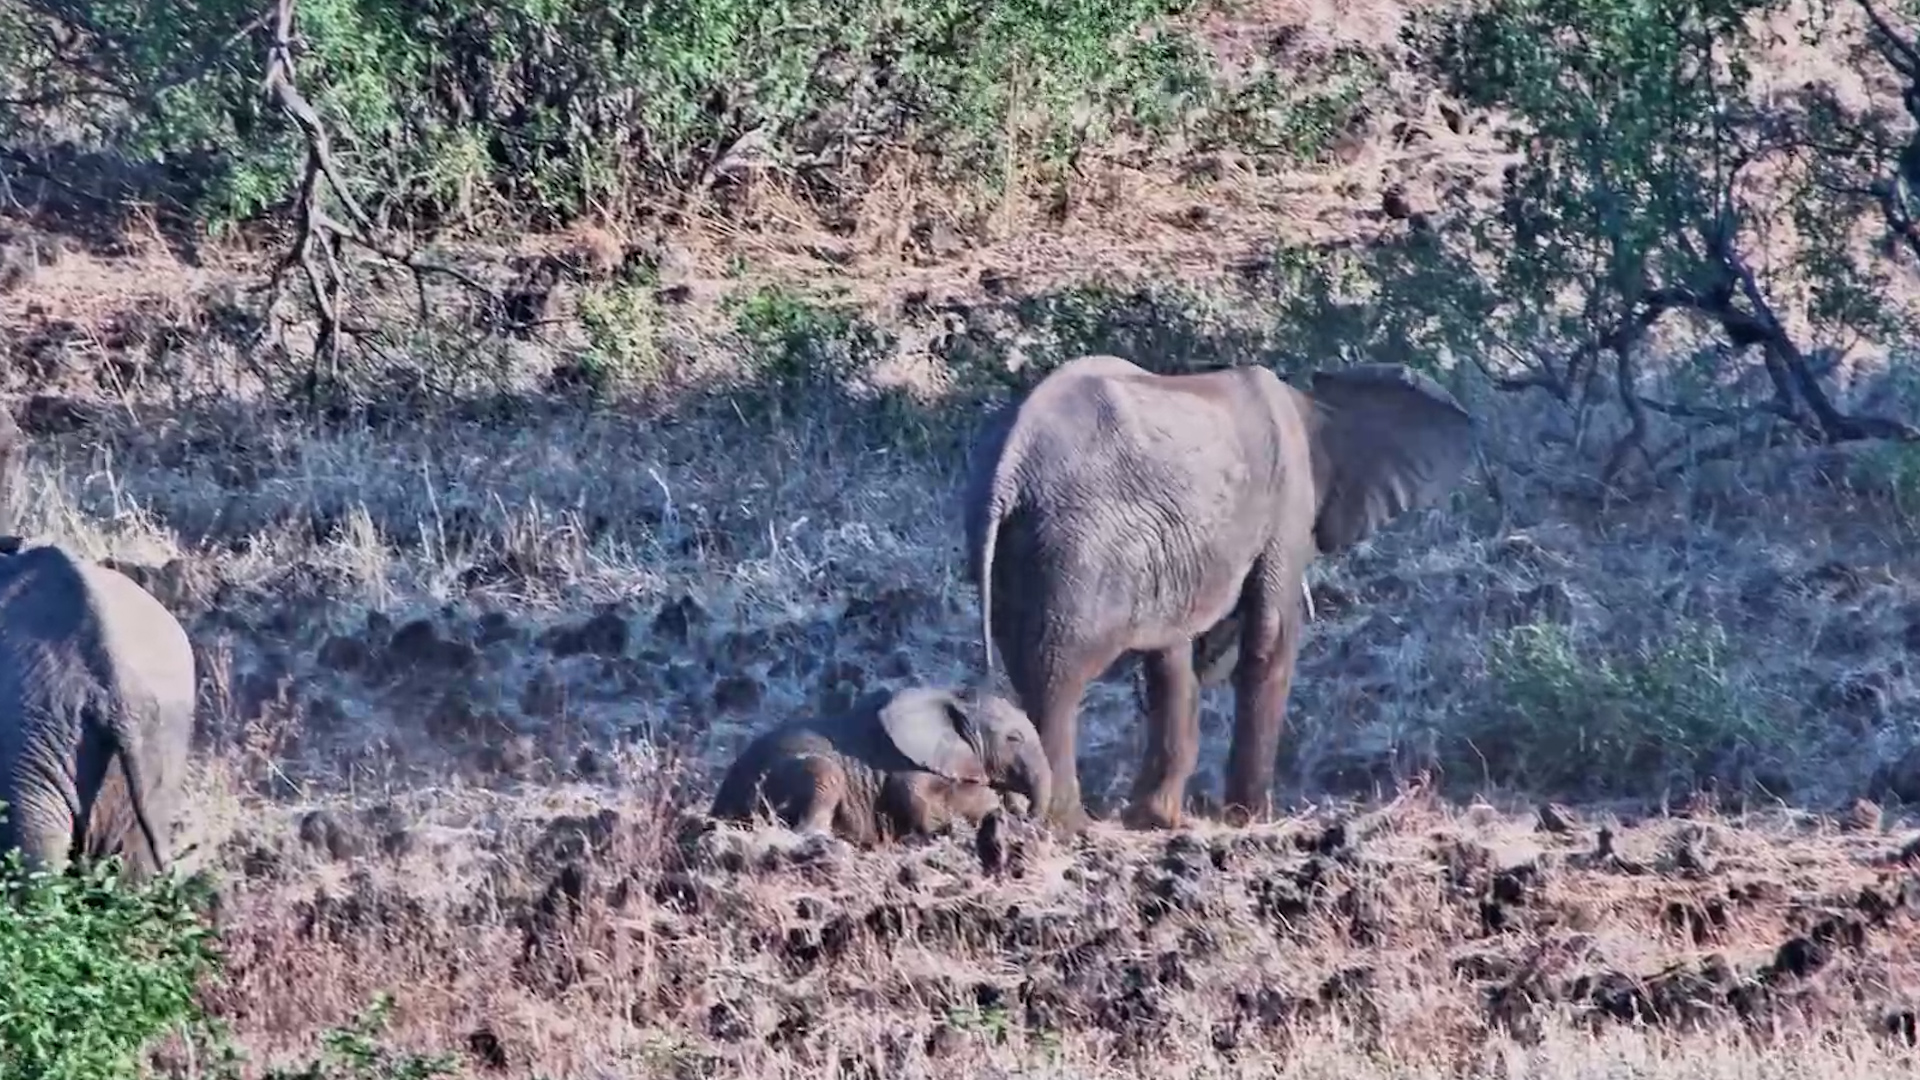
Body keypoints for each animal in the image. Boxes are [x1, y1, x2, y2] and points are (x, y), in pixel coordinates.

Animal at [964, 354, 1472, 833]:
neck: (1309, 404)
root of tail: (1011, 461)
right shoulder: (1284, 506)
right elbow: (1269, 640)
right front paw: (1250, 819)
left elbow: (1172, 659)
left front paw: (1155, 819)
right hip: (1078, 542)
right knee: (1058, 673)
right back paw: (1065, 824)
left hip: (1021, 543)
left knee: (1030, 663)